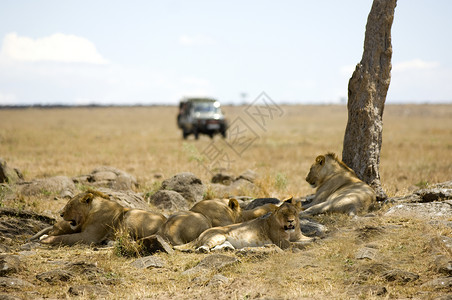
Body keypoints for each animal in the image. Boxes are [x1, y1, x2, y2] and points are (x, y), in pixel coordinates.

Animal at [39, 191, 167, 245]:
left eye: (70, 205)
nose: (61, 214)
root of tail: (165, 221)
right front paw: (46, 236)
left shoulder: (89, 237)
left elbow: (66, 237)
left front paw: (47, 239)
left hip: (130, 216)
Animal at [173, 197, 310, 253]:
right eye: (283, 213)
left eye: (294, 212)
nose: (291, 221)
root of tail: (201, 234)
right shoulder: (281, 242)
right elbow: (297, 244)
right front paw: (308, 245)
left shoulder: (299, 236)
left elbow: (309, 239)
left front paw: (314, 240)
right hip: (218, 236)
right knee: (204, 246)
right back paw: (204, 249)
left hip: (224, 240)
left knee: (218, 247)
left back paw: (226, 249)